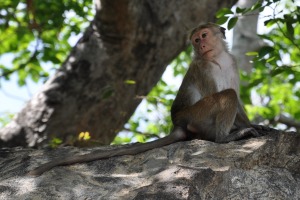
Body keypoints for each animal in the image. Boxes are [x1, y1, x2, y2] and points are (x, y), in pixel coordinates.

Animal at [26, 23, 264, 177]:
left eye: (204, 36)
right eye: (196, 40)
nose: (200, 45)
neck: (217, 58)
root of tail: (179, 123)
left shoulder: (231, 62)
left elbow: (237, 98)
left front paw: (253, 124)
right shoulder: (203, 68)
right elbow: (222, 94)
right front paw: (242, 128)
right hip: (197, 115)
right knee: (226, 96)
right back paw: (224, 138)